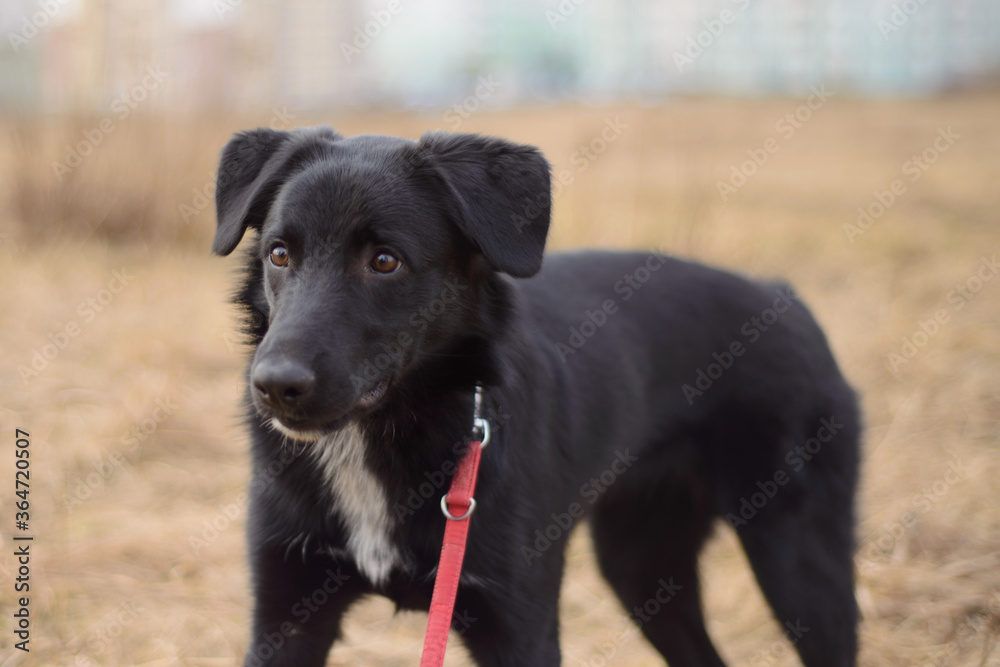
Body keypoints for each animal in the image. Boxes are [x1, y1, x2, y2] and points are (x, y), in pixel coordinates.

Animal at [213, 126, 860, 667]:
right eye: (279, 254)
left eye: (385, 261)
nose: (274, 386)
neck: (382, 436)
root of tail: (786, 299)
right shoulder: (286, 616)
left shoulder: (518, 625)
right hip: (643, 562)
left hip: (799, 559)